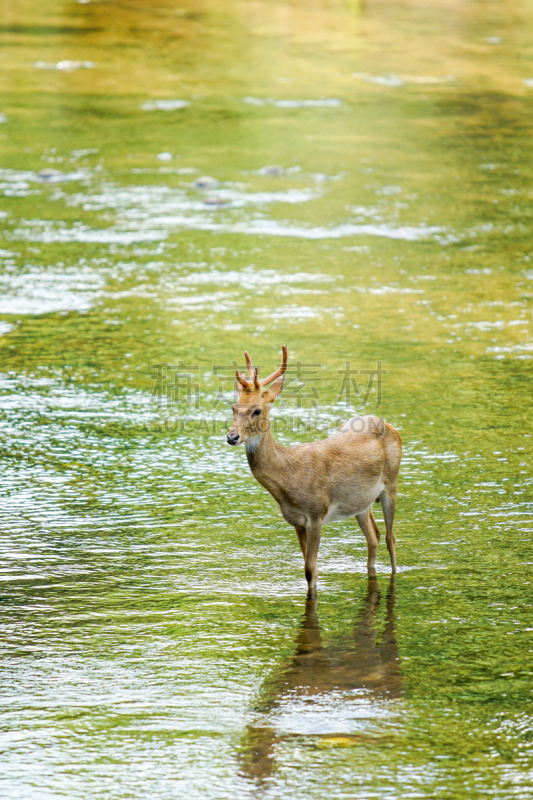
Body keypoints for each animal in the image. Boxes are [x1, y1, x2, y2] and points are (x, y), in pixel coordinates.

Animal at [227, 346, 402, 596]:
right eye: (233, 407)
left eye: (257, 410)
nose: (232, 436)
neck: (289, 477)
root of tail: (388, 425)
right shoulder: (297, 521)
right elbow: (310, 569)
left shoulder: (317, 512)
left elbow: (310, 569)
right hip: (362, 502)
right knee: (374, 536)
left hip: (392, 482)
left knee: (390, 537)